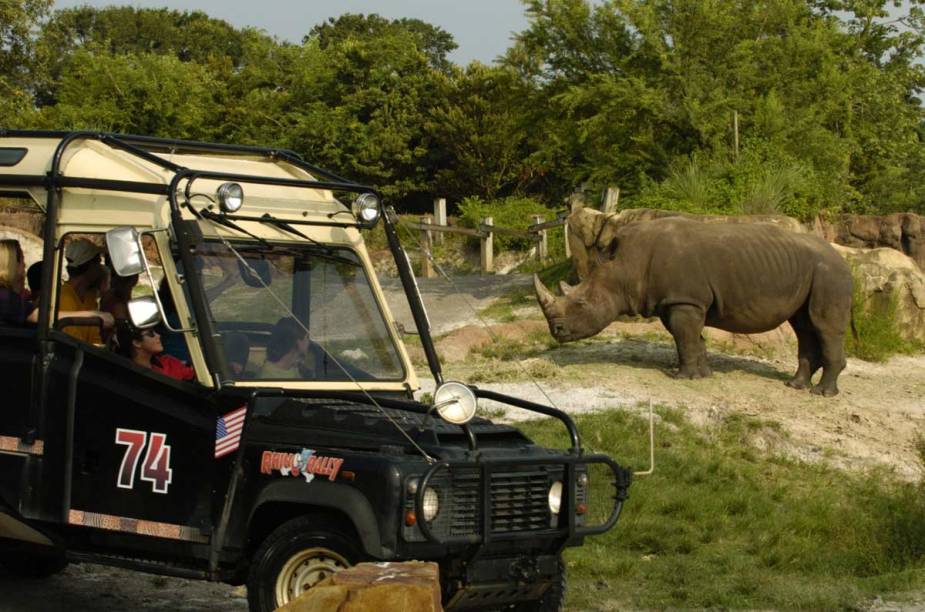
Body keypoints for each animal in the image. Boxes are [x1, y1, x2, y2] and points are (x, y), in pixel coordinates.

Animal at [535, 216, 854, 396]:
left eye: (581, 303)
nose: (556, 331)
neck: (623, 267)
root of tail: (843, 258)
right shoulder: (676, 301)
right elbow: (692, 339)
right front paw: (702, 375)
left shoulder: (684, 300)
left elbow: (685, 337)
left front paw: (682, 377)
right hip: (809, 271)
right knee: (804, 326)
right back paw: (795, 386)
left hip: (829, 274)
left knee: (824, 326)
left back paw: (823, 394)